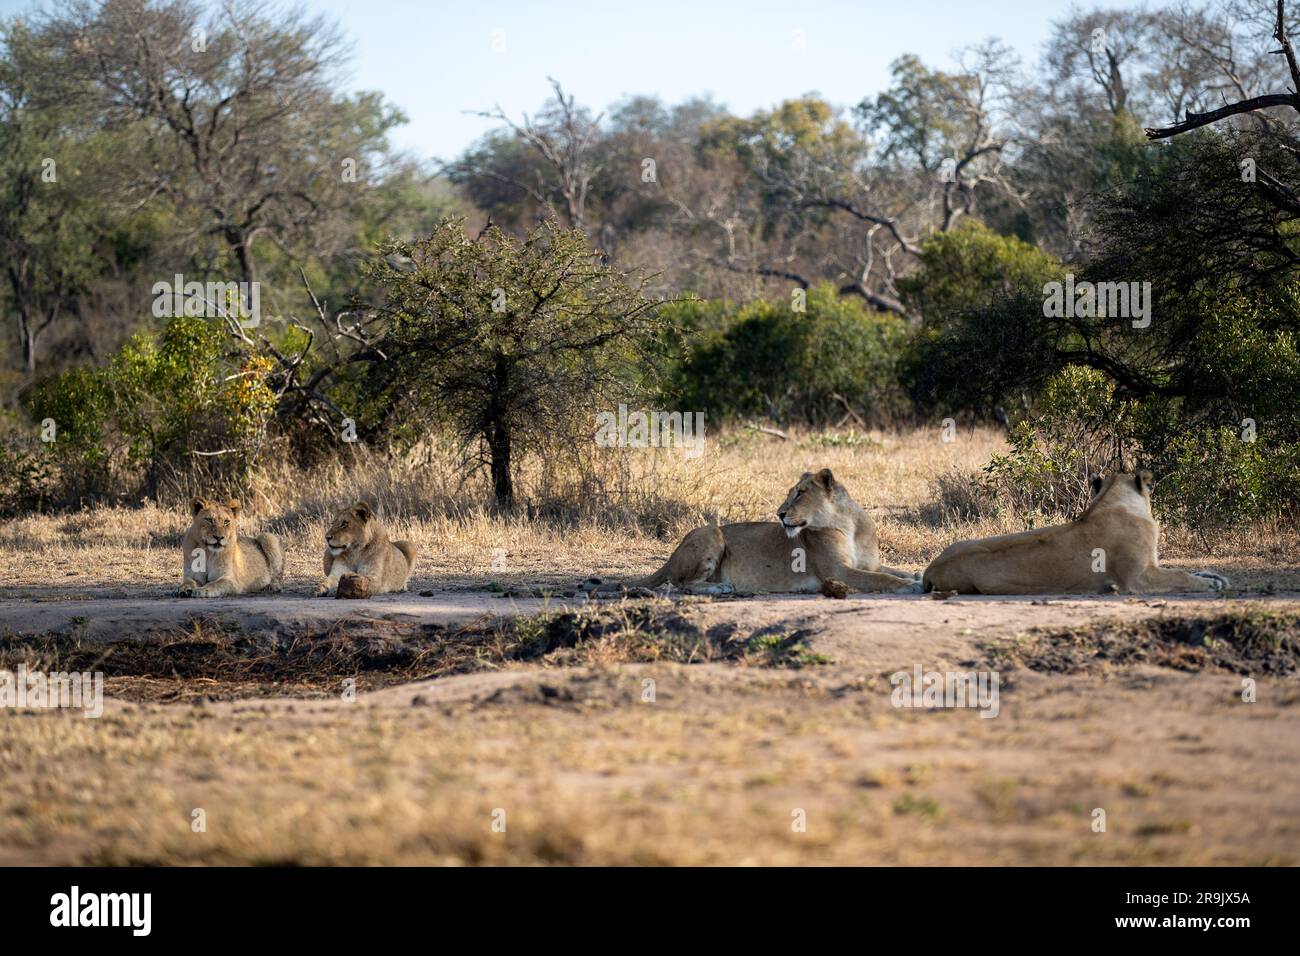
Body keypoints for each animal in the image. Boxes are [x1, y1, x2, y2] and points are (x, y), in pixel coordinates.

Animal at [587, 468, 918, 595]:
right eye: (791, 494)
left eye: (800, 493)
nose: (780, 514)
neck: (849, 525)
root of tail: (670, 556)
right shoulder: (839, 571)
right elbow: (881, 579)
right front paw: (909, 587)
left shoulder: (868, 563)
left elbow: (891, 570)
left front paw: (914, 577)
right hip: (711, 533)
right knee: (681, 584)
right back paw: (720, 588)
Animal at [921, 470, 1230, 595]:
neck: (1111, 498)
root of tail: (930, 570)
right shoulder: (1137, 578)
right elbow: (1180, 575)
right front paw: (1209, 585)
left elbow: (1188, 570)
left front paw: (1215, 577)